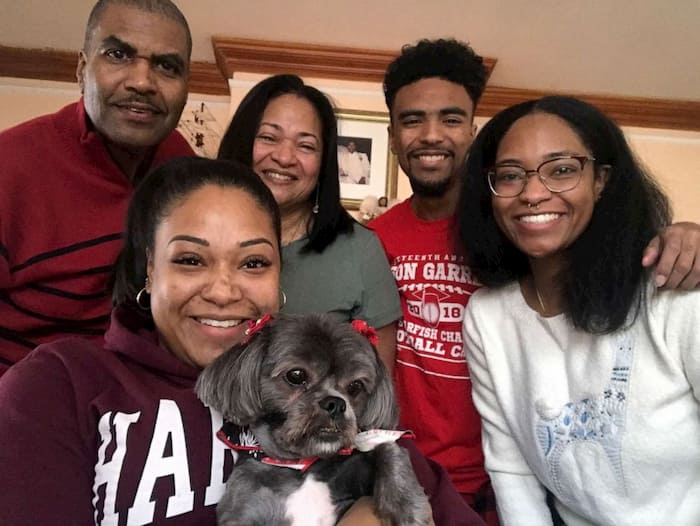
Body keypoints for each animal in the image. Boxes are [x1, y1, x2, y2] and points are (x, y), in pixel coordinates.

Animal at [194, 316, 430, 524]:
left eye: (355, 386)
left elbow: (385, 447)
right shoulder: (242, 511)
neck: (301, 467)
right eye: (296, 375)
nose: (336, 403)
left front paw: (407, 505)